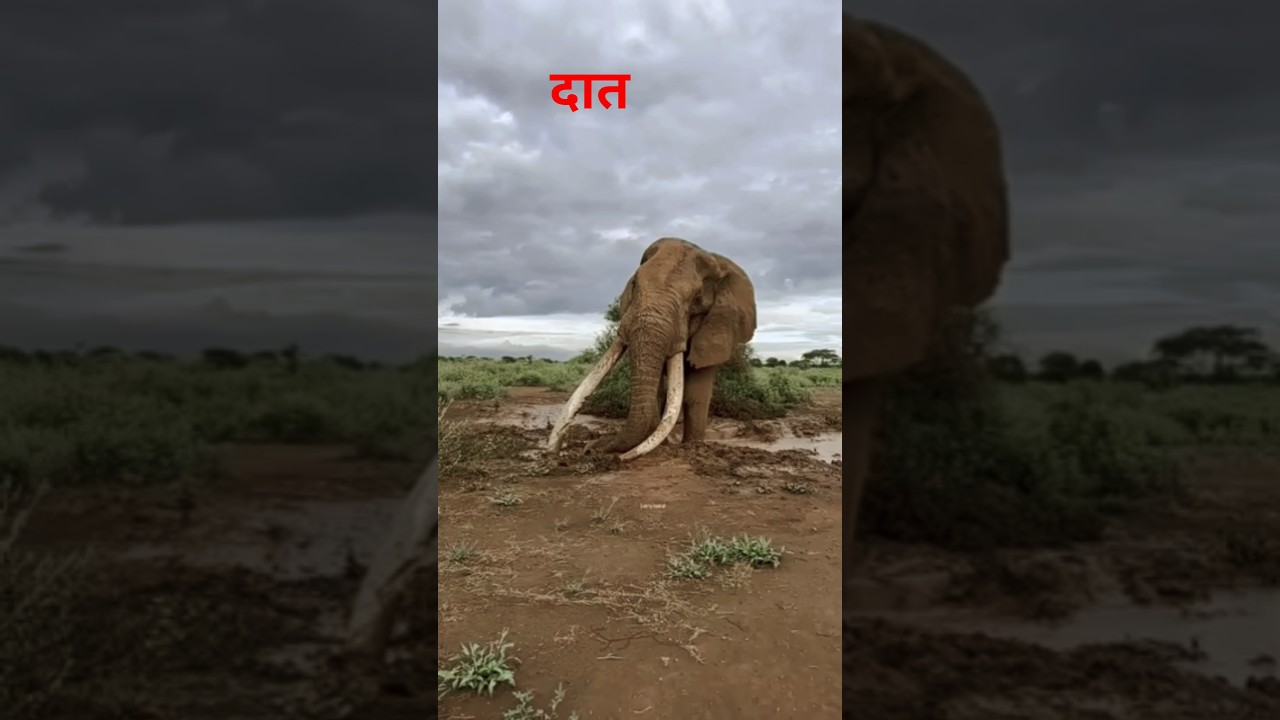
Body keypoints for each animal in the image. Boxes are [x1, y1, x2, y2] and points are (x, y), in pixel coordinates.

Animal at [546, 237, 757, 461]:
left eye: (696, 299)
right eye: (634, 284)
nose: (590, 448)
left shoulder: (716, 328)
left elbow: (696, 394)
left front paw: (691, 446)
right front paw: (661, 446)